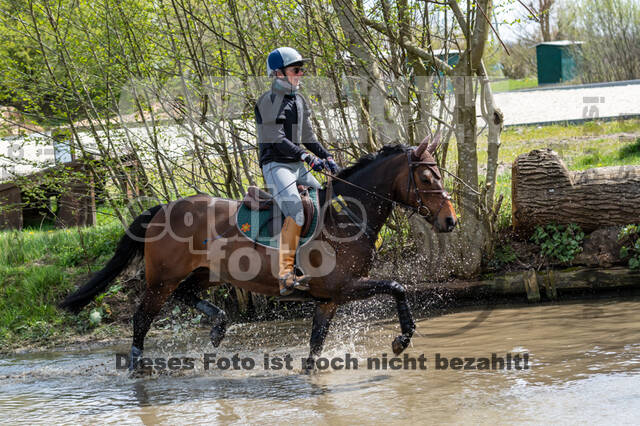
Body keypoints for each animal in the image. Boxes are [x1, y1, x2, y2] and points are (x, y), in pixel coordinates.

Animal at [60, 137, 458, 372]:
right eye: (426, 178)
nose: (450, 221)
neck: (347, 215)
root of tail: (162, 208)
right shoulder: (343, 286)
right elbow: (397, 288)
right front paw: (400, 340)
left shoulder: (328, 299)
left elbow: (315, 345)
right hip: (162, 280)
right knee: (142, 319)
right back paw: (136, 367)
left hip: (207, 272)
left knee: (188, 294)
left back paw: (218, 327)